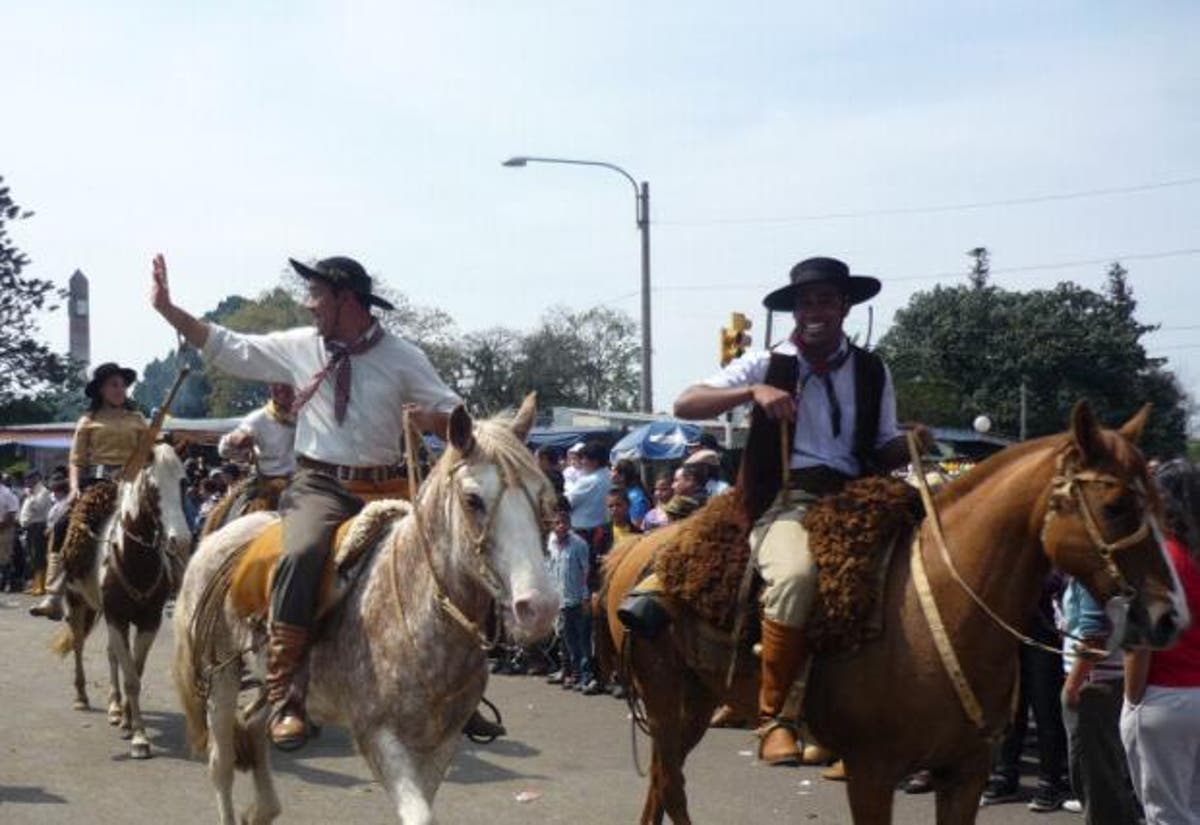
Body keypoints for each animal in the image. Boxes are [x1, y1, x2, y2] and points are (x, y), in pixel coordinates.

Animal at [53, 443, 192, 762]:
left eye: (183, 481)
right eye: (153, 488)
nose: (180, 541)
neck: (135, 560)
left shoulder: (148, 621)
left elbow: (134, 670)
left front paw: (130, 723)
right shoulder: (116, 617)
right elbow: (131, 677)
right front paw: (140, 739)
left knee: (112, 654)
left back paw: (116, 708)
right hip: (78, 603)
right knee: (78, 645)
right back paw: (82, 697)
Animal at [175, 395, 561, 825]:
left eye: (541, 496)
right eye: (472, 499)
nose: (539, 607)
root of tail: (218, 539)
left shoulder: (440, 744)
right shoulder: (379, 736)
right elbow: (419, 814)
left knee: (255, 726)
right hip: (220, 673)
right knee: (222, 762)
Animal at [604, 402, 1185, 820]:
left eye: (1161, 504)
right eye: (1117, 506)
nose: (1170, 617)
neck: (941, 613)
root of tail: (643, 552)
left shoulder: (964, 774)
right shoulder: (872, 771)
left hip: (698, 698)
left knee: (664, 780)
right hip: (664, 697)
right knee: (669, 783)